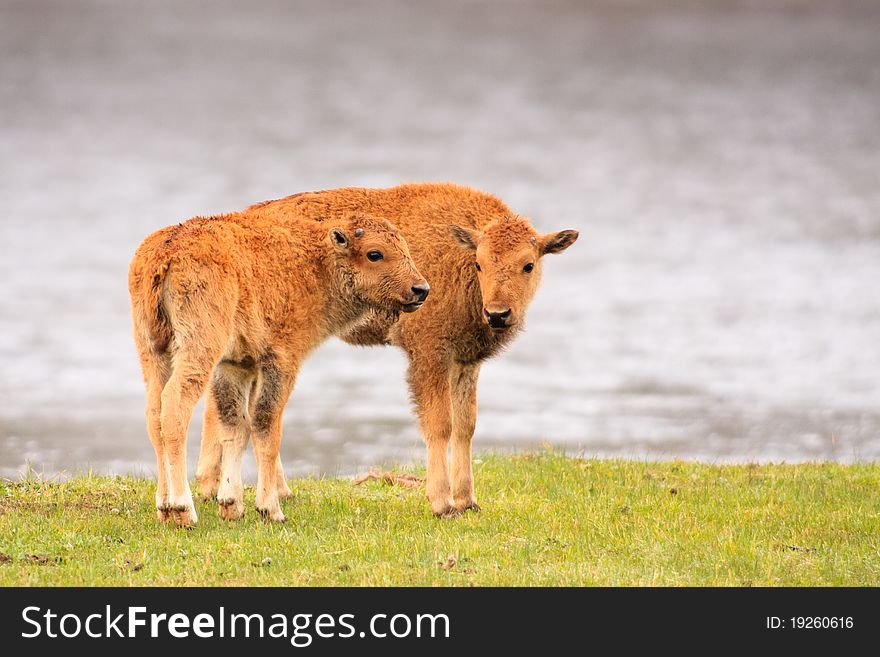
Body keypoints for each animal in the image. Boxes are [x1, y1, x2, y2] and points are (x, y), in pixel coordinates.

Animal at [131, 208, 430, 524]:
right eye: (375, 253)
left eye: (404, 248)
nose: (420, 289)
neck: (315, 262)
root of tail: (166, 252)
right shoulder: (282, 361)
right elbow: (266, 426)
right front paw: (270, 509)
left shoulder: (234, 365)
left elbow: (236, 425)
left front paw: (231, 505)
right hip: (197, 350)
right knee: (175, 406)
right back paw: (183, 509)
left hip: (153, 353)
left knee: (154, 414)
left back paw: (164, 507)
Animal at [203, 182, 580, 516]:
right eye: (479, 263)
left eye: (528, 264)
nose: (498, 314)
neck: (458, 259)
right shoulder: (429, 355)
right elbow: (440, 424)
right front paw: (442, 504)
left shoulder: (465, 362)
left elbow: (466, 425)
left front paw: (468, 501)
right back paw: (224, 489)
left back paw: (256, 491)